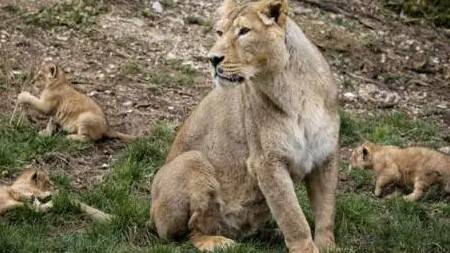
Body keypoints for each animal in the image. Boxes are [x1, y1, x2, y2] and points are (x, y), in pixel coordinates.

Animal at [149, 0, 340, 252]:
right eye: (219, 32)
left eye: (244, 31)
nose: (212, 59)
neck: (292, 87)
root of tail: (151, 216)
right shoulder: (267, 161)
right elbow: (293, 216)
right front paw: (305, 248)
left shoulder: (325, 155)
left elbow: (326, 210)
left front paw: (327, 245)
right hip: (192, 161)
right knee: (190, 232)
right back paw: (218, 242)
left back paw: (269, 235)